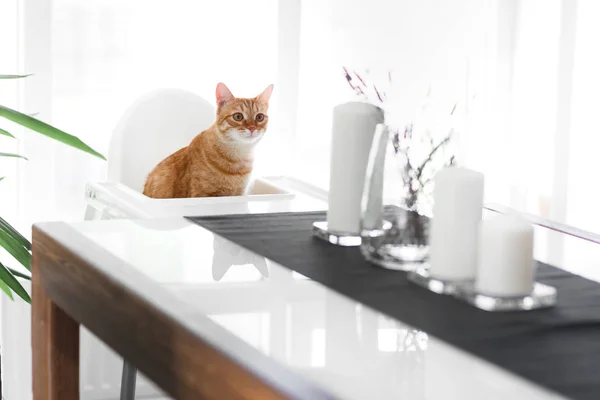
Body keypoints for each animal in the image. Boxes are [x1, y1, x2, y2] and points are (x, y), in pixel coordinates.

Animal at [143, 83, 274, 198]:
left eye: (259, 117)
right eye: (238, 116)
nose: (252, 128)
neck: (240, 155)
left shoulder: (238, 194)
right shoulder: (202, 194)